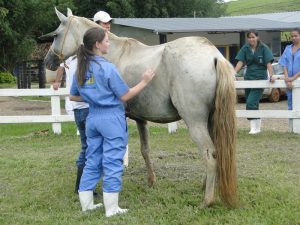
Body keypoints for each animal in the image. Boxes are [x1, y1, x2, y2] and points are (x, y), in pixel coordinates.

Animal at [41, 7, 239, 207]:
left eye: (56, 35)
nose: (48, 62)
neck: (114, 55)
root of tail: (214, 56)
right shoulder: (140, 119)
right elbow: (145, 150)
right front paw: (151, 181)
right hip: (210, 121)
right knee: (216, 152)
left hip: (195, 123)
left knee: (209, 155)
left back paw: (207, 200)